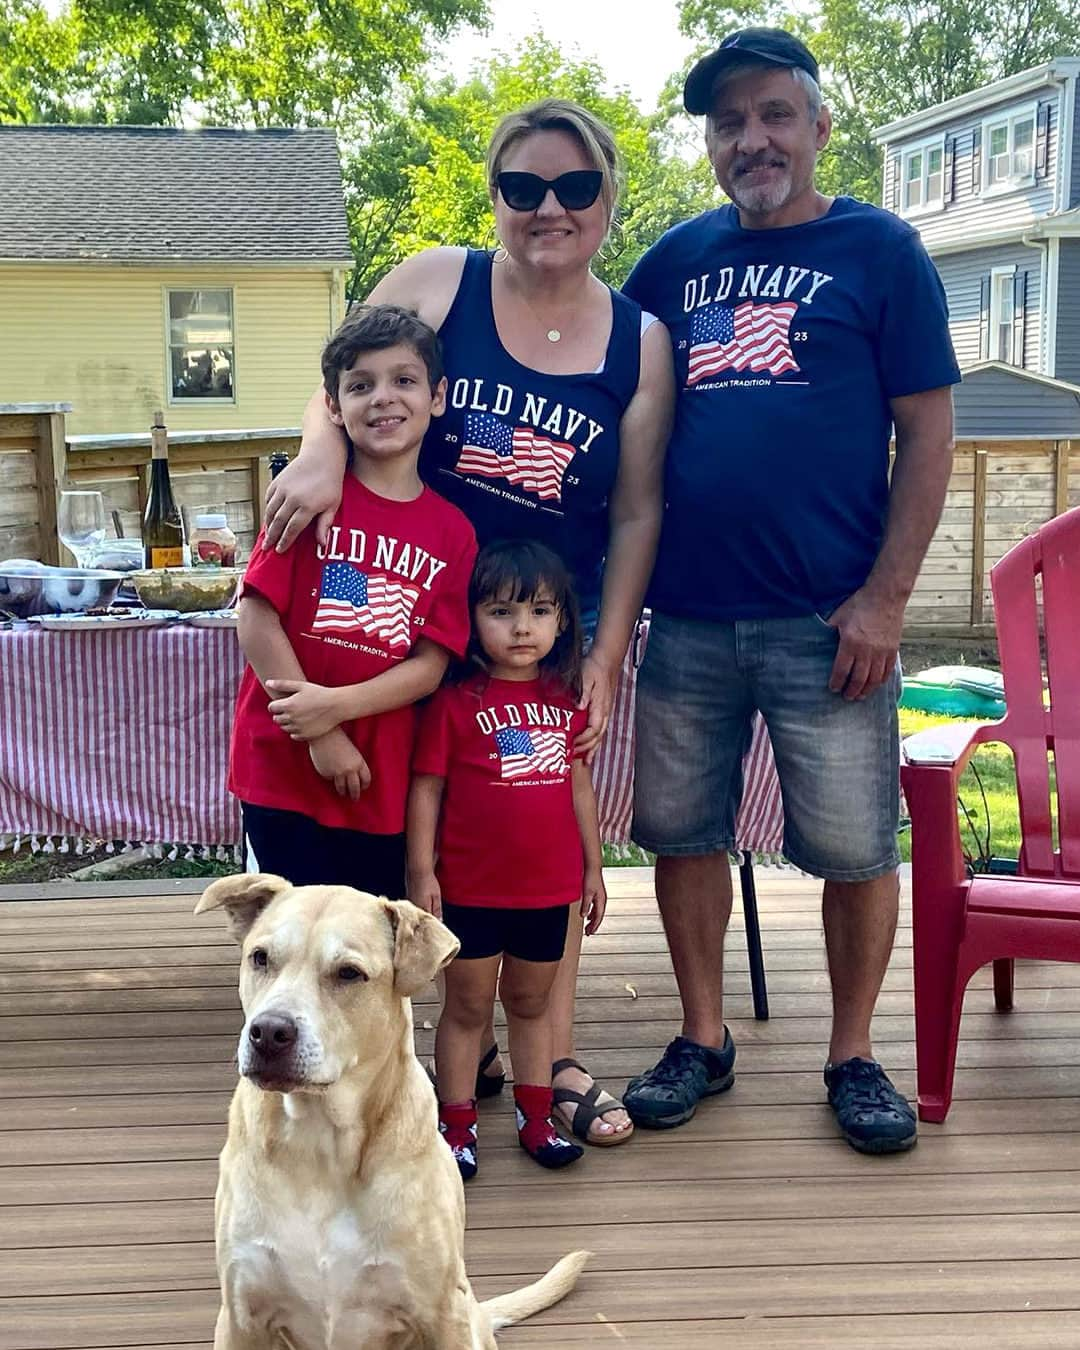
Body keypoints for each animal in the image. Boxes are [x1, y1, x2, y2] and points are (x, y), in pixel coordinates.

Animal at [199, 874, 591, 1350]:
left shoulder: (443, 1314)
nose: (269, 1032)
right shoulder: (240, 1318)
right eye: (260, 958)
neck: (320, 1144)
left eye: (349, 973)